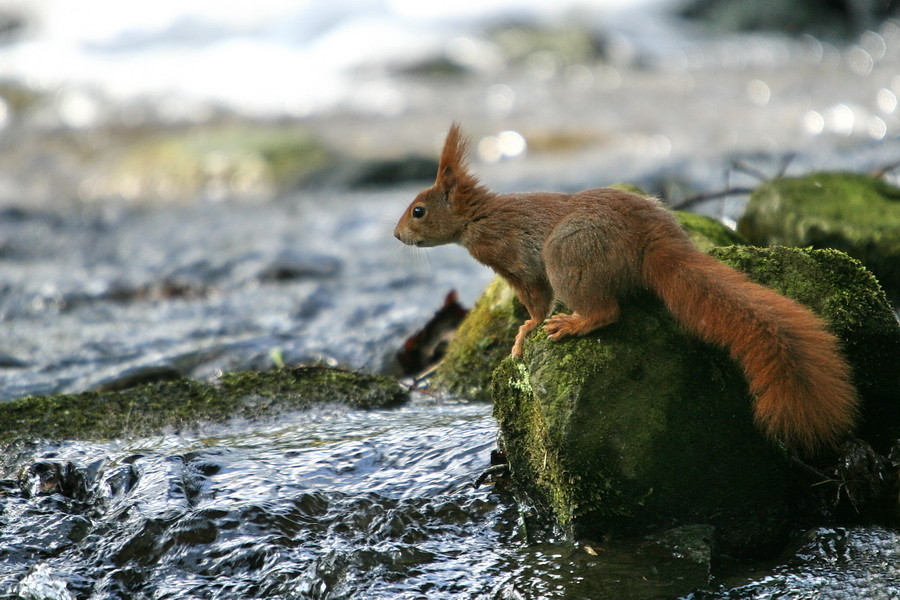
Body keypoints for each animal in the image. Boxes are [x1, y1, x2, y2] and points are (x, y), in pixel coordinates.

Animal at [394, 124, 856, 450]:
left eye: (418, 211)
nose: (397, 236)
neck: (480, 218)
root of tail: (651, 240)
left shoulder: (517, 264)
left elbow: (536, 303)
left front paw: (526, 332)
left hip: (566, 257)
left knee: (607, 312)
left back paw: (574, 323)